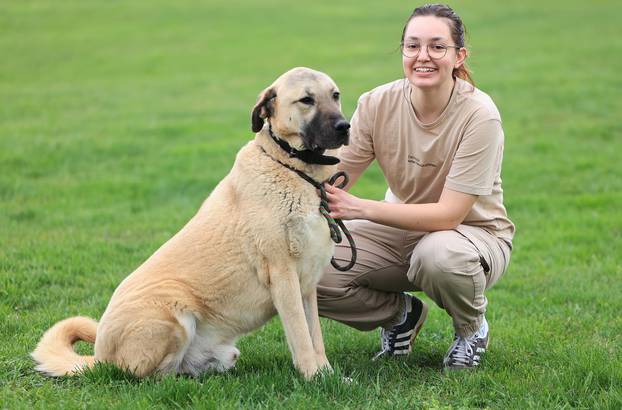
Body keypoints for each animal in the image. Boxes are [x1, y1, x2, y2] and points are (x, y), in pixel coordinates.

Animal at [33, 68, 352, 382]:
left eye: (335, 95)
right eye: (306, 100)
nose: (345, 126)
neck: (293, 168)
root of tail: (99, 357)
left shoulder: (306, 286)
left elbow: (315, 336)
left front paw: (327, 374)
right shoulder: (283, 276)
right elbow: (301, 336)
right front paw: (313, 376)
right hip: (175, 318)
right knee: (151, 377)